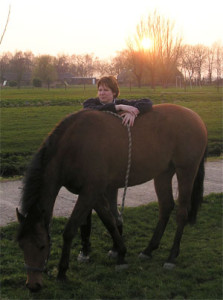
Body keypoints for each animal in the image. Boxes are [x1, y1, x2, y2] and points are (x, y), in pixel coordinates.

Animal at [16, 104, 206, 292]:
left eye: (42, 245)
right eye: (21, 245)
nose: (32, 285)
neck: (74, 146)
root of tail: (197, 118)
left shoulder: (90, 192)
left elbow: (70, 230)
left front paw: (62, 271)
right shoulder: (94, 194)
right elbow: (109, 221)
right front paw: (121, 253)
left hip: (186, 171)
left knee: (182, 212)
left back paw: (171, 257)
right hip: (163, 173)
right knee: (166, 207)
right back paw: (148, 250)